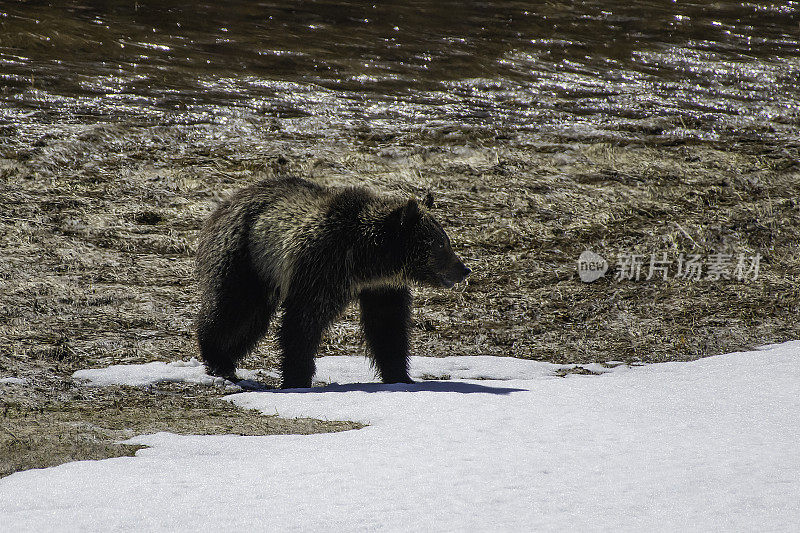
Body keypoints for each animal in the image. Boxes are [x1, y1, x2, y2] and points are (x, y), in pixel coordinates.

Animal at [195, 177, 468, 388]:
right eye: (440, 244)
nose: (464, 269)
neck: (366, 260)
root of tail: (226, 202)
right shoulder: (322, 269)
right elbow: (303, 322)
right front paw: (297, 378)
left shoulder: (382, 288)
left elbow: (388, 327)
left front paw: (400, 376)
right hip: (246, 256)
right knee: (233, 307)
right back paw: (216, 357)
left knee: (251, 320)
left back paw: (227, 359)